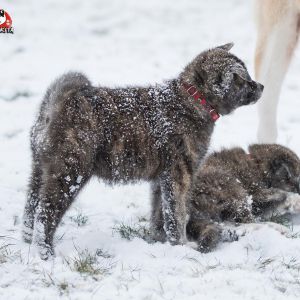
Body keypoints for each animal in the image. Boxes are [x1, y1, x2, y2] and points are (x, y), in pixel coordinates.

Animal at [22, 42, 262, 260]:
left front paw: (162, 241)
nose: (260, 86)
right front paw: (182, 246)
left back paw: (26, 242)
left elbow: (161, 214)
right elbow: (178, 215)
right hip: (69, 175)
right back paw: (45, 253)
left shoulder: (161, 178)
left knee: (30, 210)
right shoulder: (179, 175)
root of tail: (59, 103)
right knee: (45, 214)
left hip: (39, 171)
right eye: (242, 79)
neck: (193, 98)